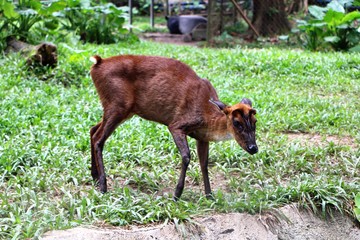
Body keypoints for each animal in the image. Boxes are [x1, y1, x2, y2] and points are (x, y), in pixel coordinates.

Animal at [90, 54, 258, 199]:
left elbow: (204, 164)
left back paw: (95, 177)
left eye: (255, 122)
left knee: (93, 130)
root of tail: (97, 63)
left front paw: (209, 196)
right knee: (99, 139)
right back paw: (103, 186)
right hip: (117, 105)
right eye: (237, 123)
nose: (253, 148)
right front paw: (177, 195)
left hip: (121, 110)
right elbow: (186, 156)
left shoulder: (202, 137)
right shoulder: (176, 125)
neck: (207, 116)